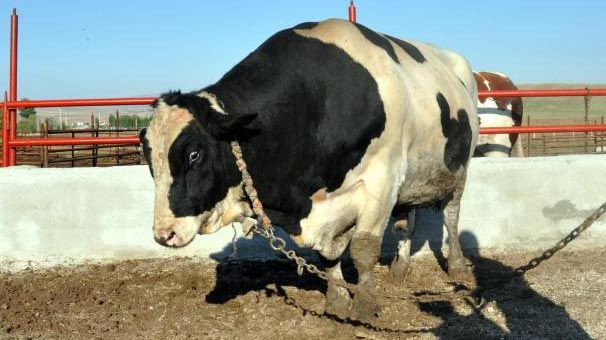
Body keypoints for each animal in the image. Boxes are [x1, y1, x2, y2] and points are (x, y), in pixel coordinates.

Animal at [139, 19, 480, 322]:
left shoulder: (381, 179)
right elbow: (328, 257)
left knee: (451, 215)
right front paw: (337, 300)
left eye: (194, 154)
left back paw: (457, 266)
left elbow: (364, 249)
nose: (164, 234)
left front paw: (365, 304)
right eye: (149, 156)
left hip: (459, 169)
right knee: (406, 221)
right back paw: (400, 268)